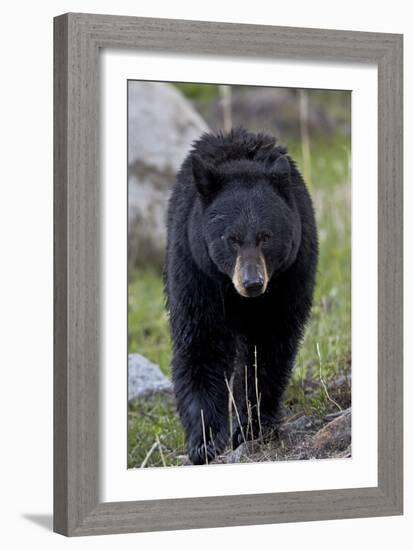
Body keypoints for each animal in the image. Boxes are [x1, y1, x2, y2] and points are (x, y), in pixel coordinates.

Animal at [165, 128, 318, 466]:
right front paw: (205, 441)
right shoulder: (196, 270)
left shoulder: (289, 277)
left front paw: (252, 426)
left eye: (266, 236)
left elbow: (268, 347)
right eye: (231, 238)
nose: (252, 282)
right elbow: (201, 342)